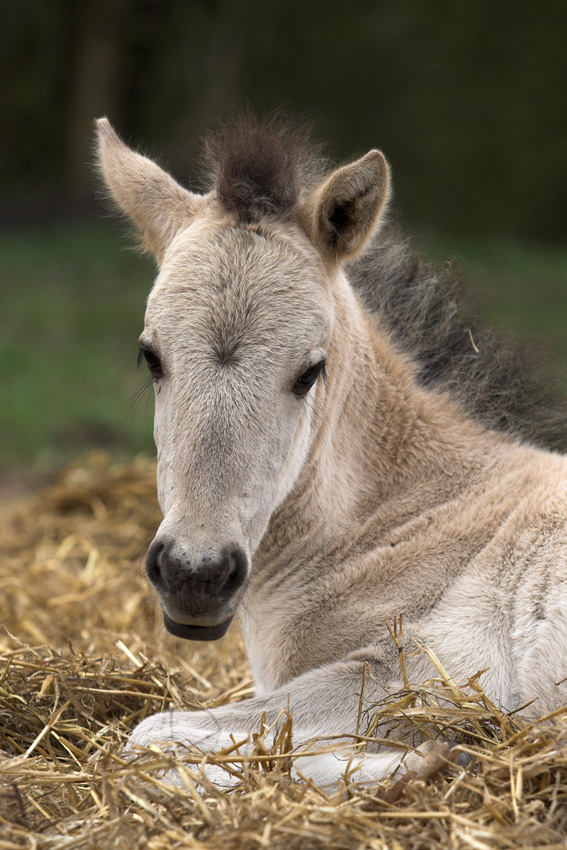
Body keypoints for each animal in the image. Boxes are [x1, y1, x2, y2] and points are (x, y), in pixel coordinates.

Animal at [97, 116, 567, 784]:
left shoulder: (434, 665)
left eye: (310, 371)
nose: (195, 574)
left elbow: (153, 734)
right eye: (149, 355)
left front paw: (433, 761)